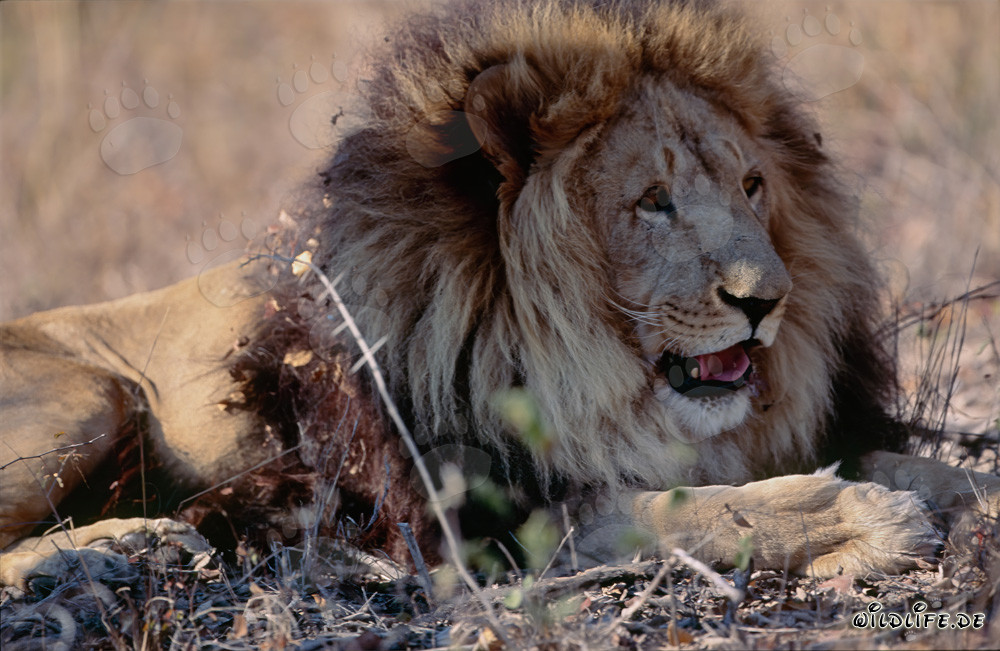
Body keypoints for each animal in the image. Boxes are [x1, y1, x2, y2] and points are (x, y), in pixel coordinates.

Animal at [2, 0, 998, 588]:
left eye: (753, 186)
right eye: (653, 201)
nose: (769, 301)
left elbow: (923, 466)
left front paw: (961, 495)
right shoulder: (494, 516)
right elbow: (693, 507)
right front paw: (864, 517)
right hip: (91, 395)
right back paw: (125, 545)